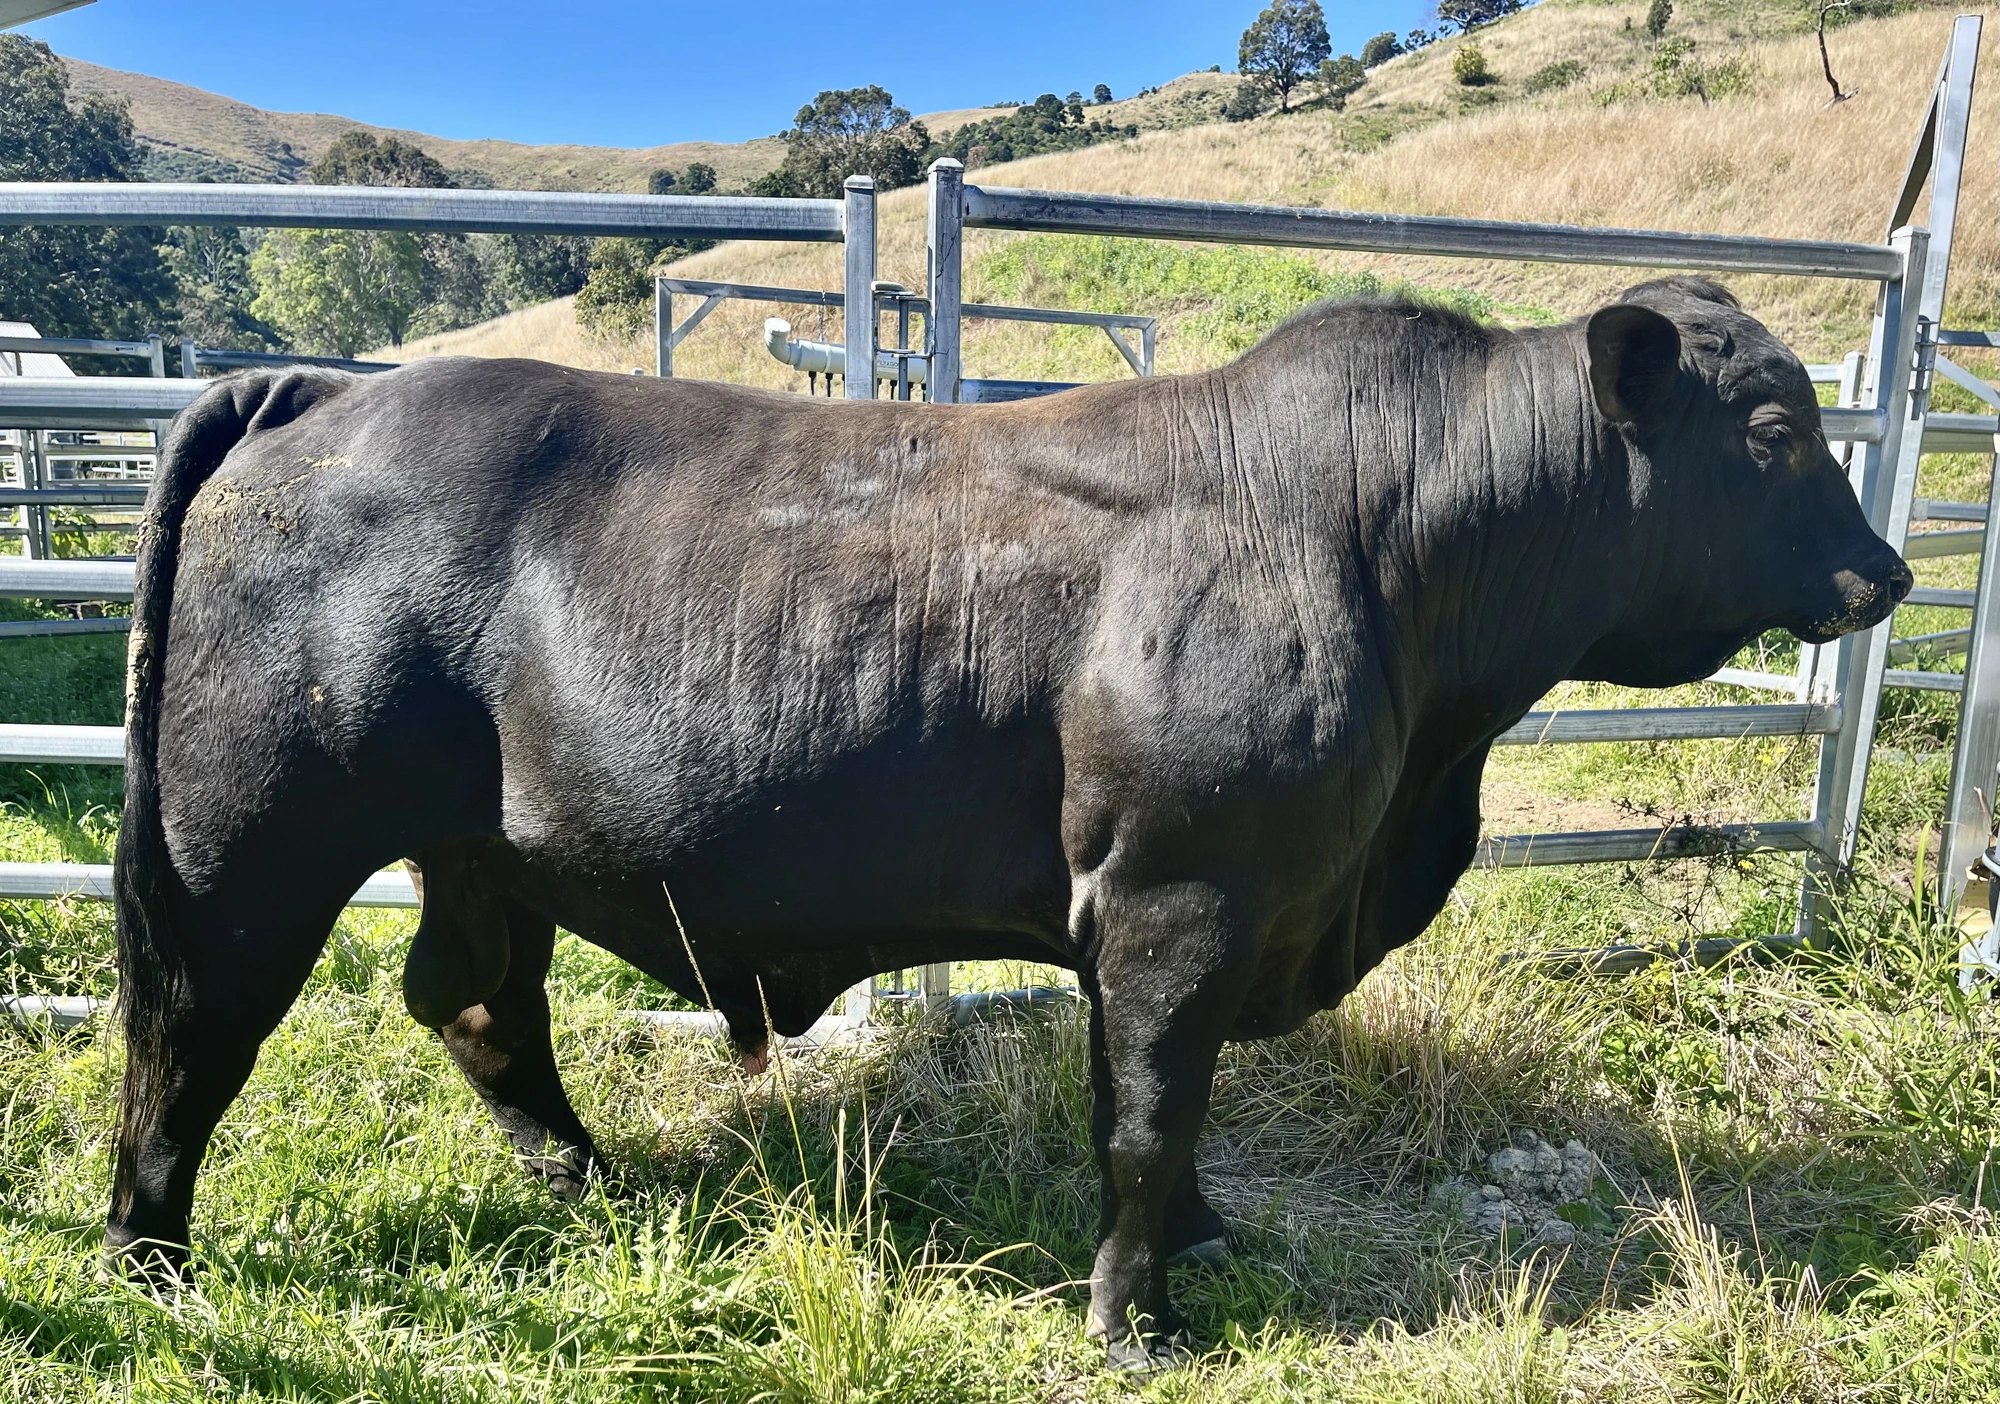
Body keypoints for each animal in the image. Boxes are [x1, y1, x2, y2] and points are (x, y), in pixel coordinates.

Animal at [106, 276, 1909, 1368]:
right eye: (1771, 430)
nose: (1885, 572)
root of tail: (319, 391)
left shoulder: (1182, 917)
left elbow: (1157, 1106)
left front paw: (1196, 1242)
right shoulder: (1181, 895)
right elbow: (1148, 1111)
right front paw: (1135, 1318)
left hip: (488, 845)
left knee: (477, 998)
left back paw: (593, 1184)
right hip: (244, 835)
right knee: (194, 1022)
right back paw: (149, 1258)